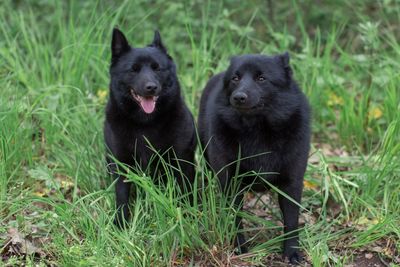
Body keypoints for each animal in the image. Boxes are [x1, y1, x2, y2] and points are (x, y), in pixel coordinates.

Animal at [104, 28, 196, 226]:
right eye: (133, 69)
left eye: (157, 68)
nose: (151, 87)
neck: (145, 124)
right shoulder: (122, 164)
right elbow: (122, 196)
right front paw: (121, 224)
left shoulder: (182, 161)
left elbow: (186, 192)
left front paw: (189, 217)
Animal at [198, 52, 310, 264]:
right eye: (235, 78)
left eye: (261, 78)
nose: (239, 97)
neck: (257, 130)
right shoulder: (230, 183)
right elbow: (235, 219)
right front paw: (239, 247)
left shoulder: (292, 182)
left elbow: (291, 221)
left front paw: (291, 252)